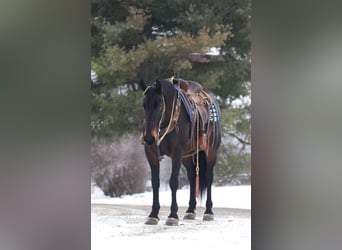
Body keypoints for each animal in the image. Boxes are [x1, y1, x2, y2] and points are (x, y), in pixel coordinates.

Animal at [140, 77, 222, 226]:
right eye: (144, 105)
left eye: (159, 104)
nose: (149, 138)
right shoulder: (151, 154)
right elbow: (155, 182)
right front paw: (153, 214)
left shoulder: (176, 154)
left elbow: (173, 182)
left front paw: (172, 216)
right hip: (187, 157)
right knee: (192, 176)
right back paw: (190, 211)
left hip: (211, 152)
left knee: (208, 177)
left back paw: (208, 212)